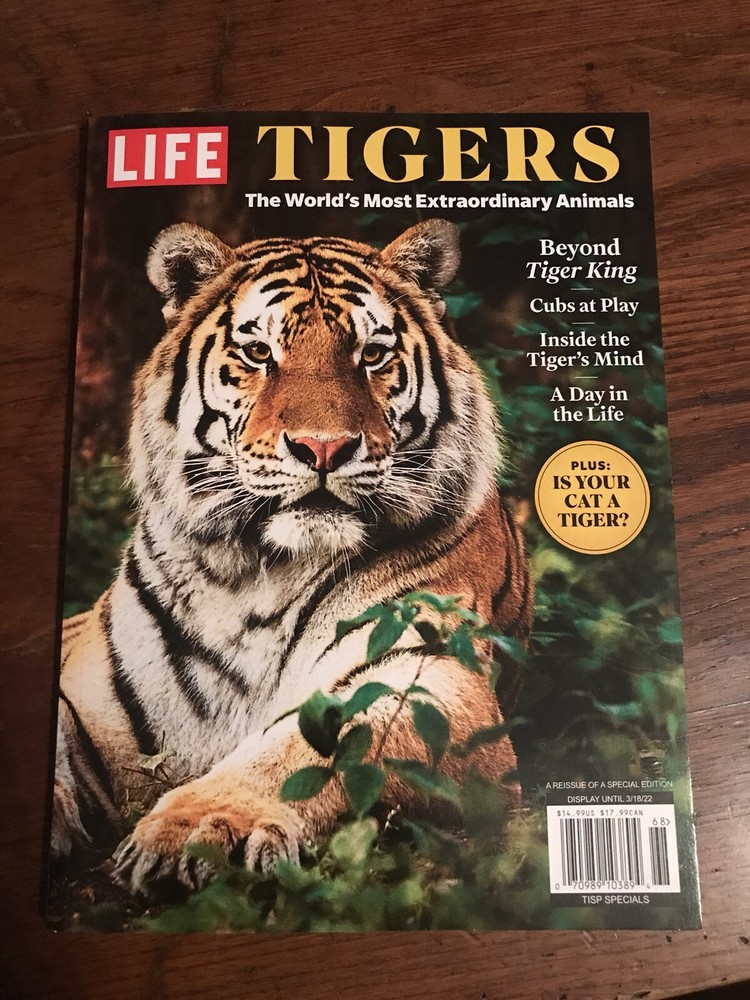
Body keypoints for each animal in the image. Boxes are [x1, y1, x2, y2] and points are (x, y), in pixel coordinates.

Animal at [51, 218, 533, 897]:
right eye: (259, 353)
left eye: (372, 355)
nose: (323, 448)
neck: (253, 573)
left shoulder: (432, 674)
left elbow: (318, 745)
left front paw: (203, 827)